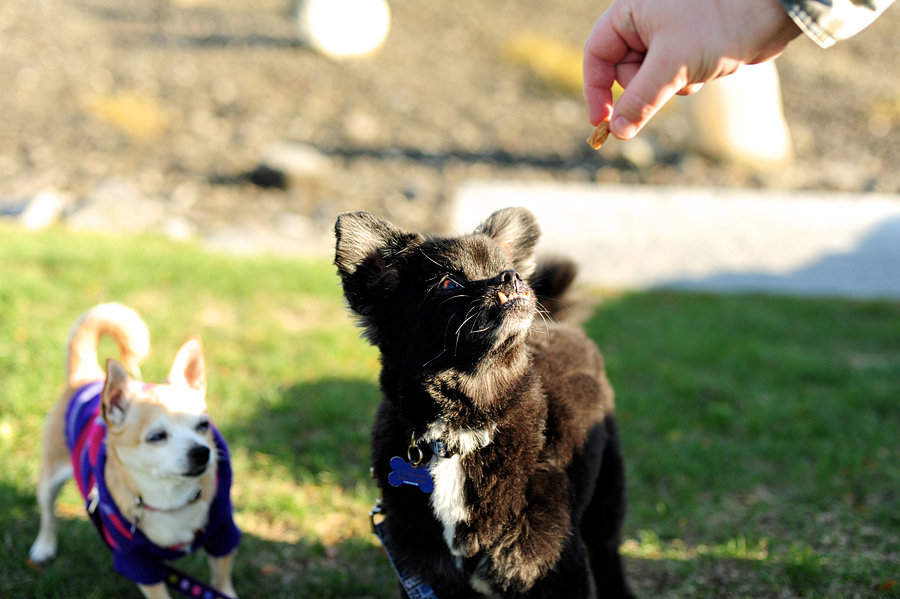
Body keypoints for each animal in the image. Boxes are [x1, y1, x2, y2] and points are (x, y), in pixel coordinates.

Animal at [334, 207, 636, 599]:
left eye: (507, 267)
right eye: (448, 282)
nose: (512, 276)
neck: (463, 427)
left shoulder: (557, 572)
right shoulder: (423, 573)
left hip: (606, 493)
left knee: (606, 550)